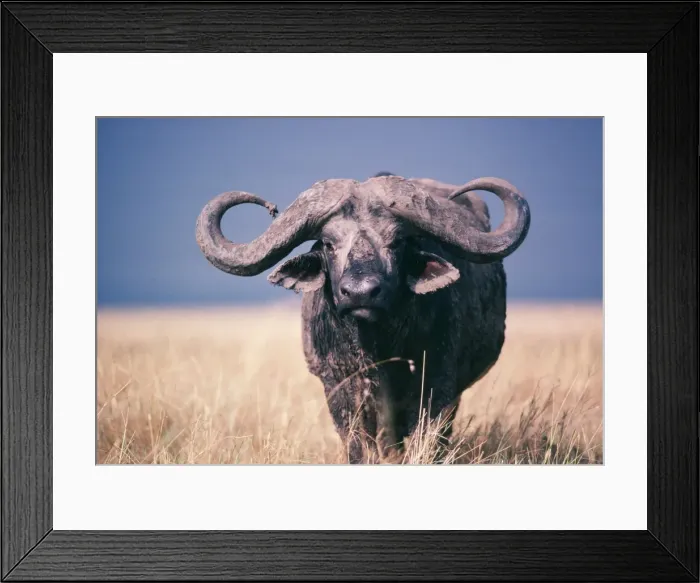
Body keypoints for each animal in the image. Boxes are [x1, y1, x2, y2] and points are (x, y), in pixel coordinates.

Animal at [196, 172, 531, 463]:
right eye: (329, 244)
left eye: (396, 242)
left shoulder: (439, 382)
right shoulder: (339, 387)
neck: (379, 347)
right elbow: (359, 446)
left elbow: (425, 436)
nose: (360, 293)